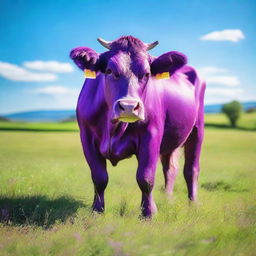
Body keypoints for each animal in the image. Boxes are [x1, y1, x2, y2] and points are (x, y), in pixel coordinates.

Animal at [70, 35, 206, 217]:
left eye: (147, 73)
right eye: (109, 71)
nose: (128, 106)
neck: (113, 128)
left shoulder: (152, 134)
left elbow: (145, 177)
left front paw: (148, 213)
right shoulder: (86, 136)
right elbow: (99, 178)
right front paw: (97, 210)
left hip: (197, 130)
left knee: (191, 169)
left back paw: (193, 204)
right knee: (170, 169)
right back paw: (168, 200)